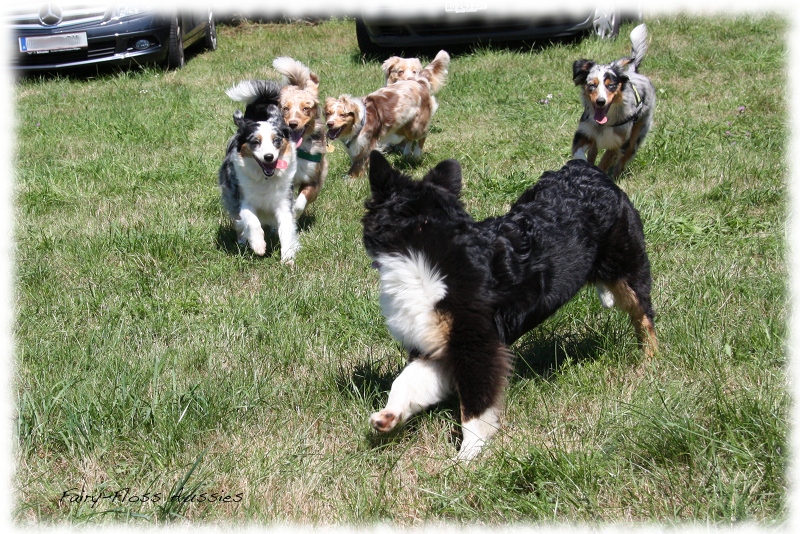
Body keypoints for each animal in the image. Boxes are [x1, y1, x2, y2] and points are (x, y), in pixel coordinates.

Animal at [219, 80, 300, 264]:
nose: (269, 157)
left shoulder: (284, 201)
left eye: (276, 140)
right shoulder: (243, 199)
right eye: (255, 142)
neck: (265, 178)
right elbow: (251, 220)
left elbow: (286, 228)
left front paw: (287, 257)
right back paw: (243, 241)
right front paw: (258, 245)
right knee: (239, 223)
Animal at [272, 57, 328, 220]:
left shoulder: (314, 177)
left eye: (306, 109)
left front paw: (294, 214)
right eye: (286, 108)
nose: (293, 124)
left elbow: (300, 202)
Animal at [324, 49, 450, 178]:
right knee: (409, 138)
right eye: (328, 114)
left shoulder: (367, 145)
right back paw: (406, 154)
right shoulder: (355, 147)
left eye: (343, 114)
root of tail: (419, 81)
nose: (329, 124)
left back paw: (417, 154)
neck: (359, 123)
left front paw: (351, 179)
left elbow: (358, 165)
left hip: (415, 126)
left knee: (422, 135)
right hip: (402, 124)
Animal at [572, 24, 652, 179]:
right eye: (592, 85)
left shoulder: (617, 145)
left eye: (611, 86)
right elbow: (579, 152)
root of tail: (634, 72)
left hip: (635, 139)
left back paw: (615, 177)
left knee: (622, 161)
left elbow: (604, 164)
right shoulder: (585, 132)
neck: (604, 123)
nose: (600, 101)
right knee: (593, 151)